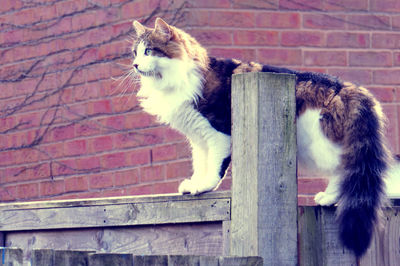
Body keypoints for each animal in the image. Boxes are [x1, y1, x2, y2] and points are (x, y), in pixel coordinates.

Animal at [131, 17, 394, 258]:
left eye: (148, 51)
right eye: (135, 52)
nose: (134, 65)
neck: (178, 77)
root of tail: (349, 88)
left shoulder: (218, 133)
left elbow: (214, 167)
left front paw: (204, 187)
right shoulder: (198, 138)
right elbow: (201, 165)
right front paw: (195, 183)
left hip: (319, 144)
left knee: (343, 169)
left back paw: (328, 197)